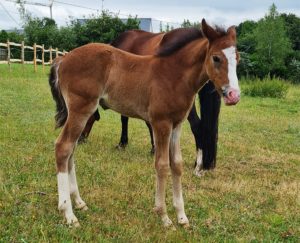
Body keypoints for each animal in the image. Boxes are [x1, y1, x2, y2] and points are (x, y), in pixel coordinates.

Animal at [80, 28, 223, 177]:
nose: (80, 139)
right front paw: (155, 148)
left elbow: (126, 119)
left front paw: (123, 143)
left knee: (197, 126)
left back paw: (197, 165)